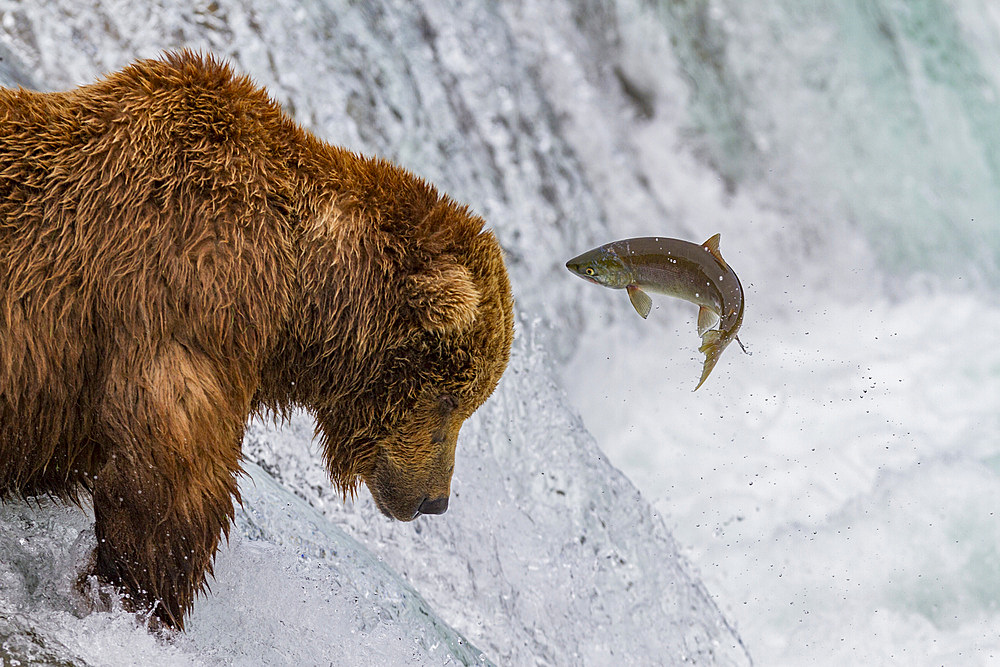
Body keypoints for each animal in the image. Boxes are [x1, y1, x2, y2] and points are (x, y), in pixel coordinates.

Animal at [0, 53, 516, 632]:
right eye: (451, 399)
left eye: (470, 401)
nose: (435, 500)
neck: (299, 292)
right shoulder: (192, 289)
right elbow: (171, 472)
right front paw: (140, 598)